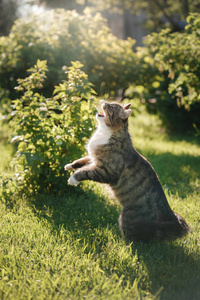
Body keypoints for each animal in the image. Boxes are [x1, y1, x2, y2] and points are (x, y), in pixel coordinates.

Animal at [64, 102, 191, 243]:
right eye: (109, 103)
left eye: (111, 108)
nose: (104, 102)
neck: (105, 132)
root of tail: (169, 217)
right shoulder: (94, 160)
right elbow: (81, 162)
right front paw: (69, 166)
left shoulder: (105, 170)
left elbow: (84, 171)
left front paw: (73, 179)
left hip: (125, 216)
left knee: (137, 240)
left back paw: (119, 243)